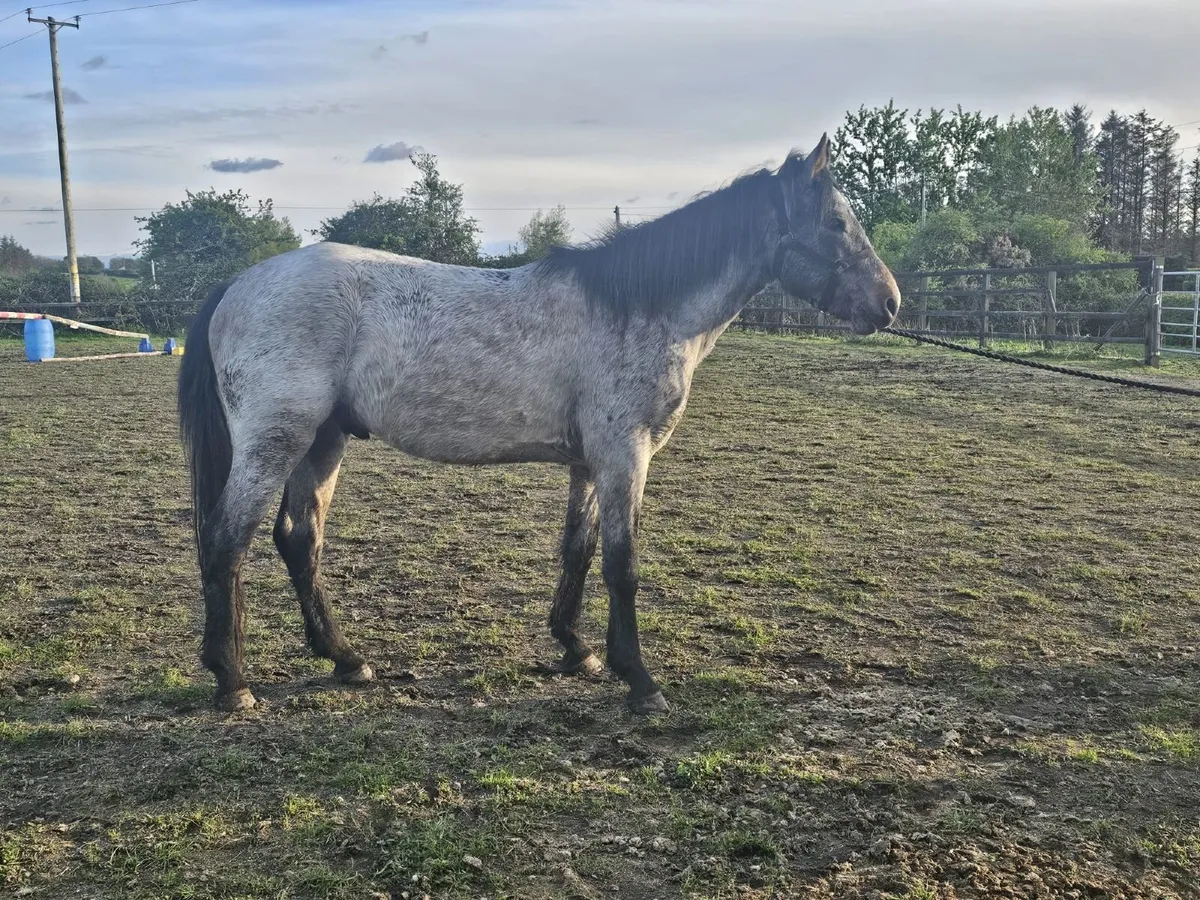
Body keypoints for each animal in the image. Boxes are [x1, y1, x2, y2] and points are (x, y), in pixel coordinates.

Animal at [177, 135, 901, 715]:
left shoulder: (590, 461)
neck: (638, 309)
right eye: (835, 223)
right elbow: (622, 564)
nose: (889, 304)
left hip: (322, 443)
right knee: (226, 541)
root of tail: (238, 285)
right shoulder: (624, 454)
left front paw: (577, 650)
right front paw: (640, 681)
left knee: (299, 540)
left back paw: (345, 659)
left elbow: (578, 550)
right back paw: (232, 682)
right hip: (275, 443)